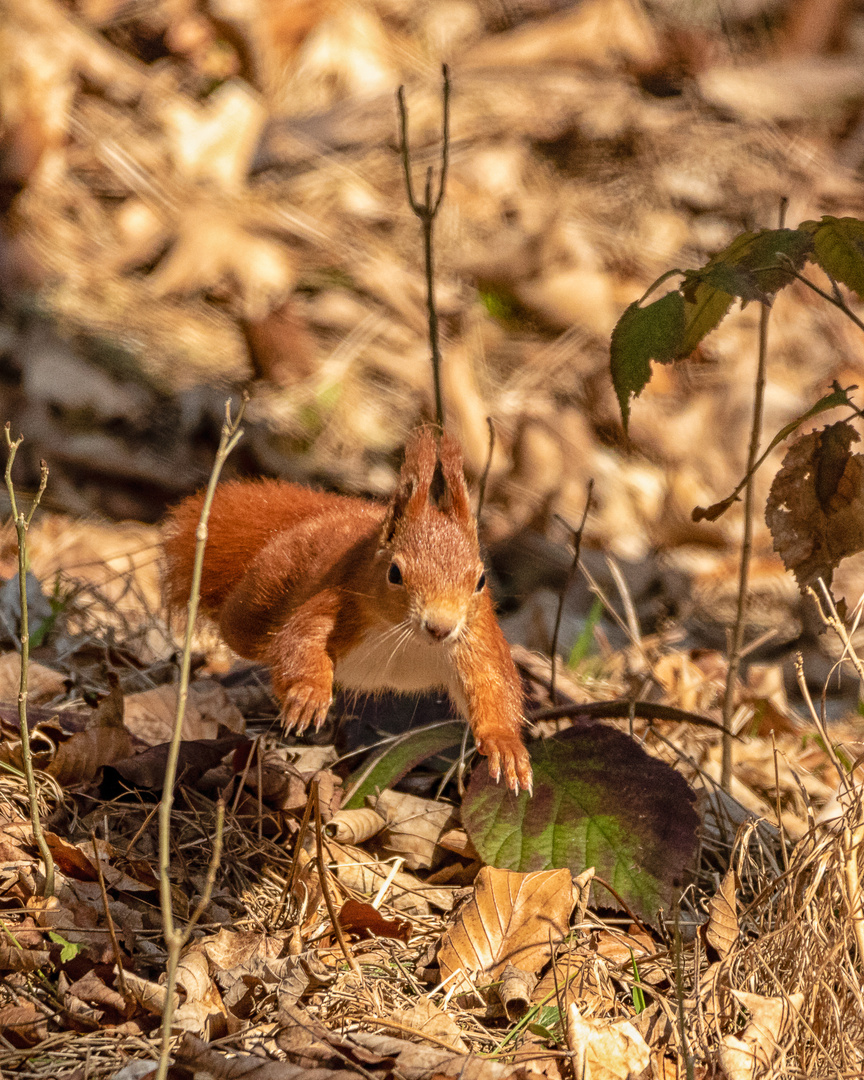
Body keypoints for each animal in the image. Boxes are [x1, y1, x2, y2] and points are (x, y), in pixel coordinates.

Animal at [158, 427, 529, 794]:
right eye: (395, 574)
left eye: (481, 580)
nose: (440, 627)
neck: (408, 639)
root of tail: (329, 515)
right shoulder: (339, 602)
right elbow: (300, 640)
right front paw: (309, 694)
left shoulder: (477, 637)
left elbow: (494, 686)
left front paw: (504, 743)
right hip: (259, 604)